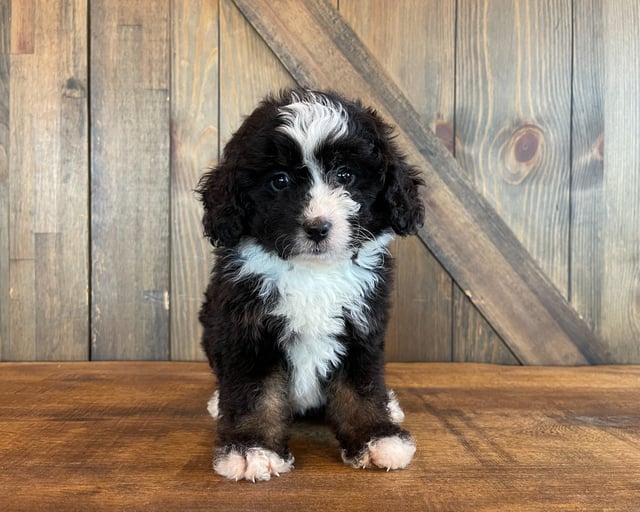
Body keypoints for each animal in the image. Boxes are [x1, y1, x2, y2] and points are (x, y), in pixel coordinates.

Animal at [198, 88, 422, 480]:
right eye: (280, 181)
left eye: (345, 175)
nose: (317, 227)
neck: (311, 271)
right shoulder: (248, 330)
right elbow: (256, 394)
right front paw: (251, 449)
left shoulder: (359, 329)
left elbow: (361, 390)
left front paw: (377, 437)